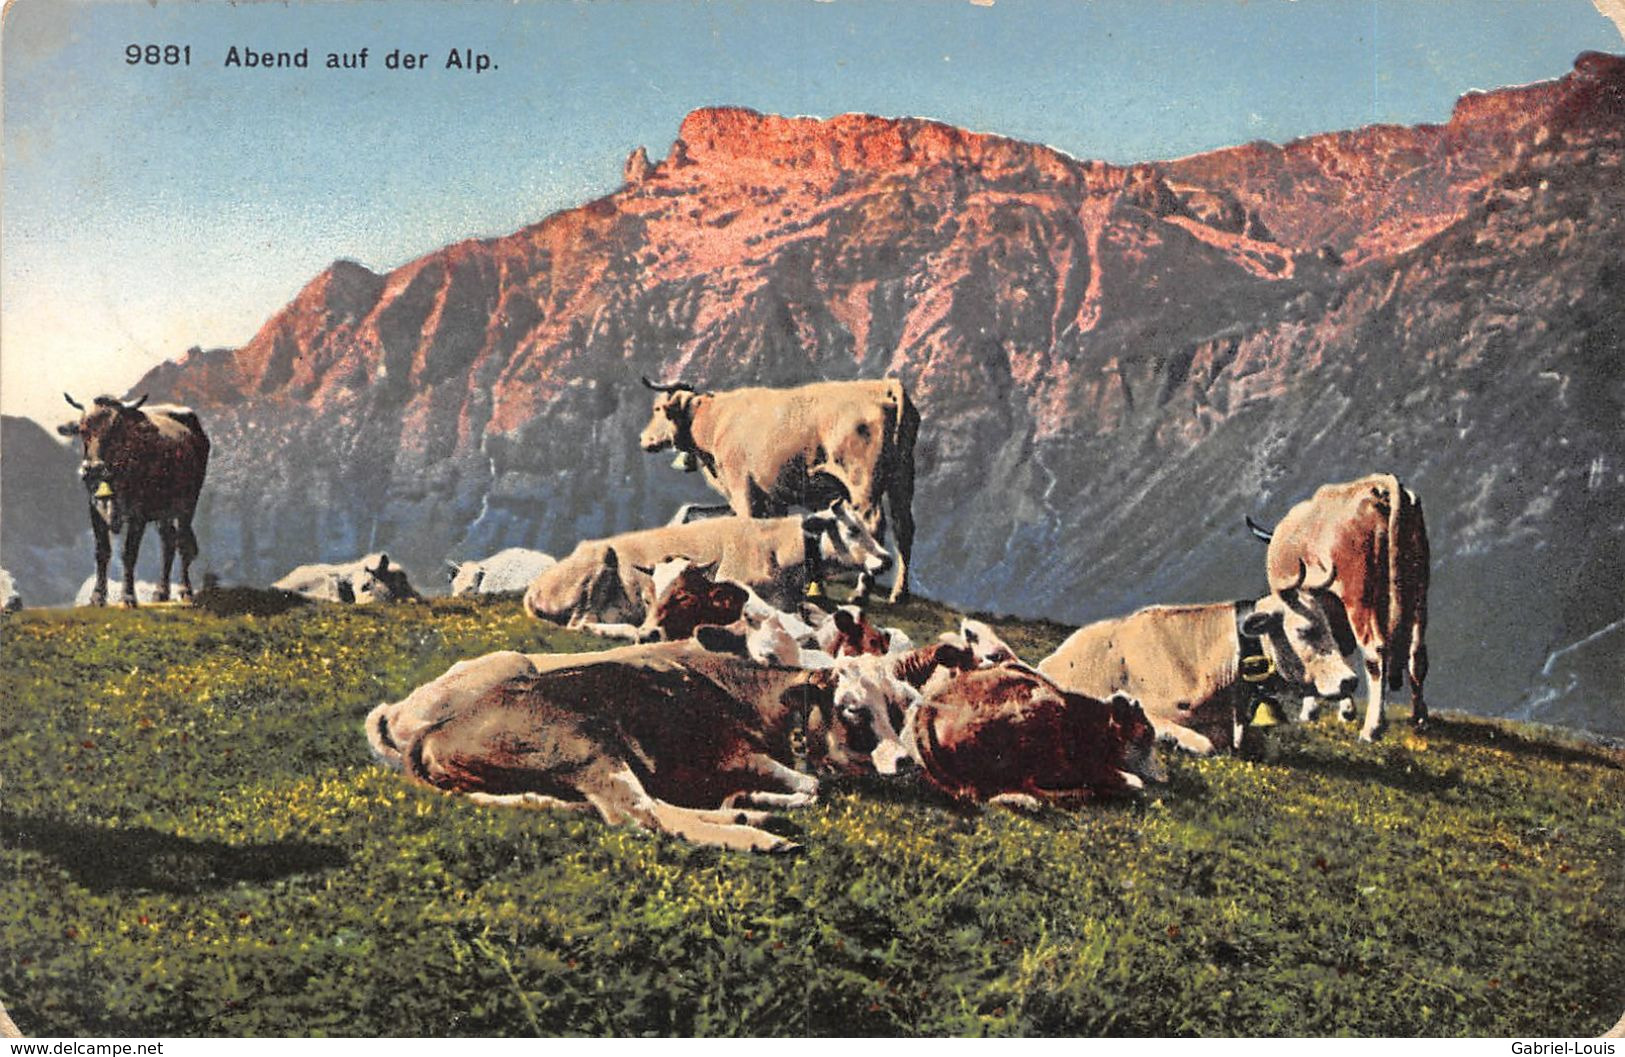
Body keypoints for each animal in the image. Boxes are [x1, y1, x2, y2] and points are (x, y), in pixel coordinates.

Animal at [57, 393, 211, 608]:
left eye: (115, 430)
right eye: (82, 429)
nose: (93, 468)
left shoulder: (139, 514)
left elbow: (129, 553)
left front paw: (128, 597)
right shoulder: (94, 509)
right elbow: (102, 552)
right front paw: (97, 596)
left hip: (189, 502)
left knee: (182, 543)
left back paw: (185, 590)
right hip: (163, 511)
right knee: (168, 542)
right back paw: (161, 592)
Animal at [637, 374, 923, 598]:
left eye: (658, 409)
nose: (643, 439)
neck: (715, 421)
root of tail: (885, 386)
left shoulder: (743, 489)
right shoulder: (771, 498)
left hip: (863, 482)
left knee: (874, 524)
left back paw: (862, 590)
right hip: (902, 478)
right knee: (904, 528)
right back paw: (899, 593)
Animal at [1248, 474, 1430, 738]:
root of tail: (1378, 487)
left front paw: (1313, 710)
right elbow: (1338, 648)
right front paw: (1346, 709)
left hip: (1359, 599)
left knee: (1375, 652)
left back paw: (1372, 728)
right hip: (1418, 593)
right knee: (1417, 653)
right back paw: (1420, 719)